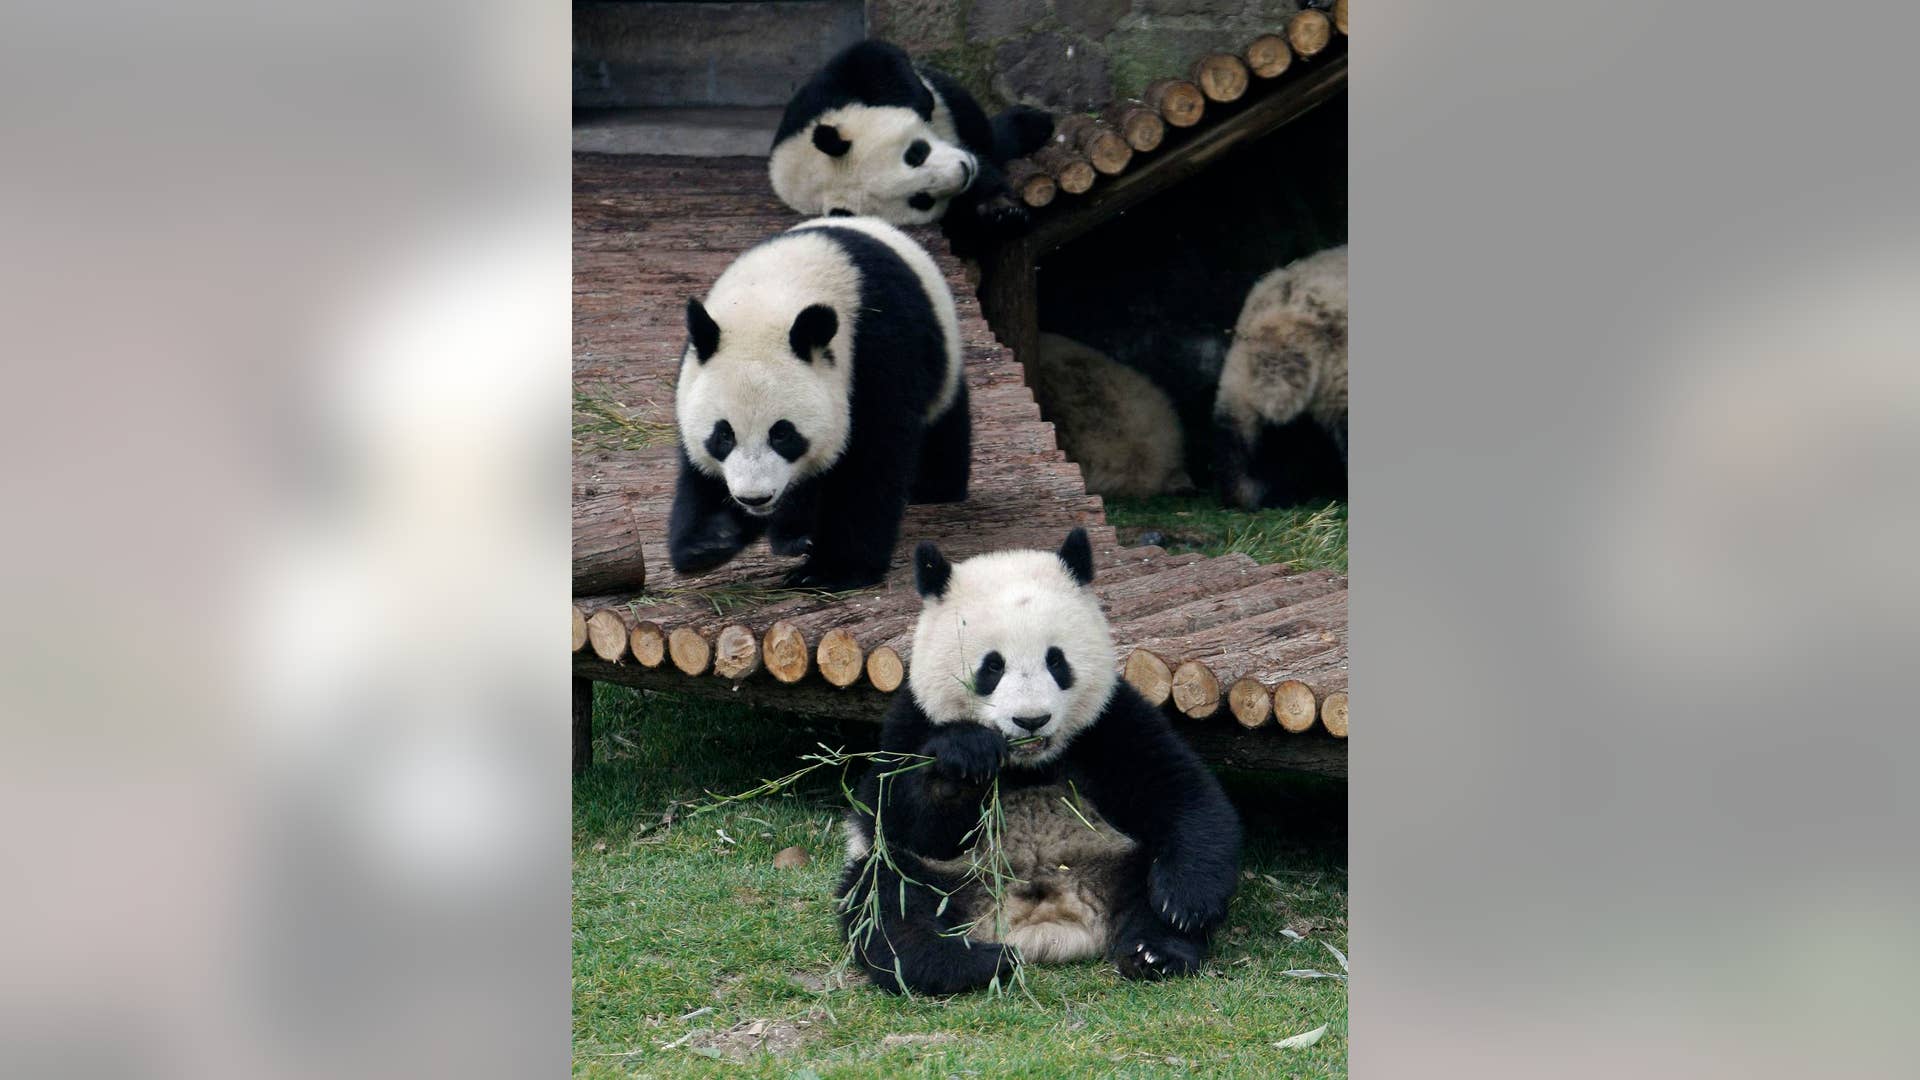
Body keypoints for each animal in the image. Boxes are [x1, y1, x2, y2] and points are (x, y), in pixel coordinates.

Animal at [668, 216, 970, 591]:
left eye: (782, 434)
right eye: (724, 435)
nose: (755, 498)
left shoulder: (877, 347)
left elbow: (871, 459)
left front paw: (832, 570)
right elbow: (698, 472)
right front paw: (710, 540)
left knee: (944, 418)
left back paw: (937, 488)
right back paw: (794, 535)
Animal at [769, 40, 1054, 258]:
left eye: (915, 154)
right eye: (921, 199)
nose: (963, 171)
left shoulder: (816, 105)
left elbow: (869, 56)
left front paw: (918, 104)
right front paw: (1001, 213)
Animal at [837, 528, 1242, 994]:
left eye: (1056, 660)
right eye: (992, 666)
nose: (1031, 720)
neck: (1029, 763)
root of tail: (1042, 923)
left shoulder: (1110, 722)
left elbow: (1180, 792)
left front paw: (1183, 902)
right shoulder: (912, 721)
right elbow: (898, 815)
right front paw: (966, 758)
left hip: (1120, 856)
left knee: (1147, 884)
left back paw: (1154, 951)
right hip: (944, 877)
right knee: (888, 900)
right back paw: (971, 962)